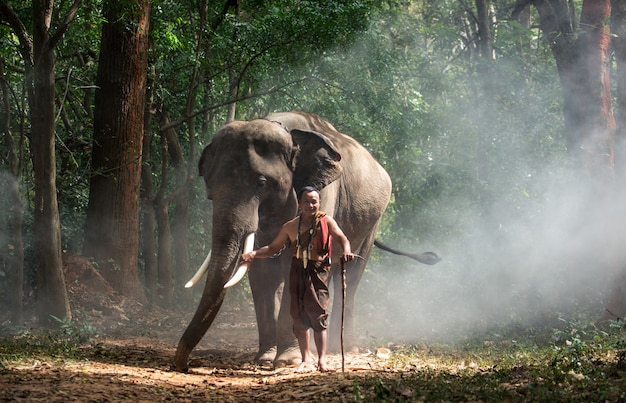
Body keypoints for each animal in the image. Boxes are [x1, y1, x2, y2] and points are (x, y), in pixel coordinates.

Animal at [173, 110, 432, 372]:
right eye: (209, 190)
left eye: (262, 183)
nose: (184, 365)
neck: (284, 130)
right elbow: (262, 273)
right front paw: (265, 358)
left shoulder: (324, 192)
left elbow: (295, 269)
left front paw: (287, 360)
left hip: (373, 221)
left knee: (351, 275)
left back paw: (343, 347)